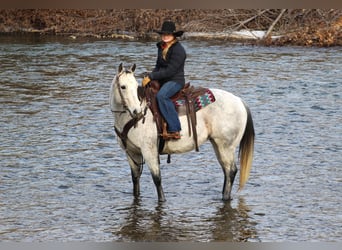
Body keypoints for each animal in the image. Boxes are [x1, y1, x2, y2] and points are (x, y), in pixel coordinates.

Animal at [109, 63, 254, 202]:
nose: (137, 112)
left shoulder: (149, 151)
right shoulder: (131, 152)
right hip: (218, 145)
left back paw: (225, 197)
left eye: (135, 86)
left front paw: (162, 200)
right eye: (123, 87)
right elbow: (135, 179)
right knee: (226, 170)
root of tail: (240, 101)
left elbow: (157, 179)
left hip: (226, 146)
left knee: (231, 171)